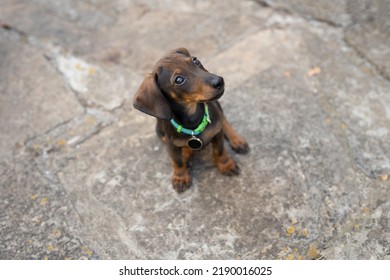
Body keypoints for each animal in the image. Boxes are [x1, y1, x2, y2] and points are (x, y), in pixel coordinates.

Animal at [133, 48, 250, 192]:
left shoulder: (217, 132)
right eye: (179, 79)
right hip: (159, 131)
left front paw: (225, 164)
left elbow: (219, 150)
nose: (219, 81)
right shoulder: (170, 144)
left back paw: (236, 140)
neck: (193, 118)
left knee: (223, 120)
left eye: (195, 60)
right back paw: (186, 154)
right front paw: (180, 176)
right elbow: (177, 161)